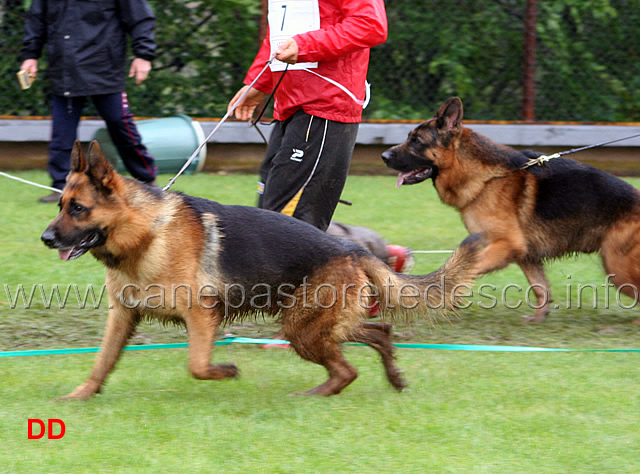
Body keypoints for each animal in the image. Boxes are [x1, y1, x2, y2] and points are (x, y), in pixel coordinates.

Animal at [42, 141, 482, 400]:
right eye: (60, 205)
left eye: (77, 209)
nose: (46, 238)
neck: (147, 231)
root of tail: (353, 249)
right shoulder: (123, 316)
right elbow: (102, 361)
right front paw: (81, 396)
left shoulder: (201, 316)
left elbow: (197, 365)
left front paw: (226, 371)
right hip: (319, 324)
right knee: (380, 332)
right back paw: (393, 378)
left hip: (302, 327)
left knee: (348, 368)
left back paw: (313, 396)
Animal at [382, 98, 640, 324]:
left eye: (416, 141)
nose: (383, 156)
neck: (485, 178)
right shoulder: (525, 254)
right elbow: (540, 287)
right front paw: (539, 318)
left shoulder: (505, 245)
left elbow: (461, 271)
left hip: (618, 267)